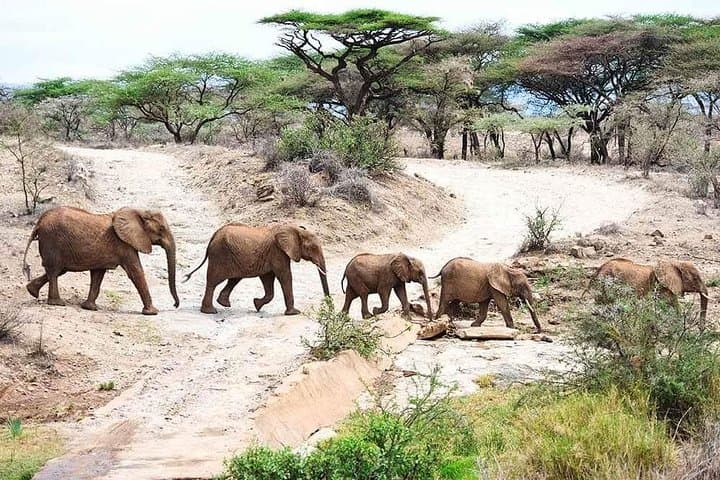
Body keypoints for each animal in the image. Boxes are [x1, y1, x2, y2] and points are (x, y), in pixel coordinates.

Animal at [22, 206, 179, 315]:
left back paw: (32, 291)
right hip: (52, 241)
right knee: (55, 271)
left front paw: (89, 308)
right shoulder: (124, 244)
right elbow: (136, 272)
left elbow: (98, 274)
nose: (175, 305)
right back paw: (57, 303)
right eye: (161, 228)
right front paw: (152, 312)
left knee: (58, 271)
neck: (138, 211)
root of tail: (39, 222)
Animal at [184, 223, 329, 315]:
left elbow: (268, 278)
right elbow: (285, 276)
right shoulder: (278, 252)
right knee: (213, 282)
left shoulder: (271, 254)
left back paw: (223, 304)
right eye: (313, 248)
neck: (295, 229)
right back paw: (210, 311)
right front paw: (294, 313)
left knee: (234, 279)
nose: (329, 305)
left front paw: (257, 305)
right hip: (219, 255)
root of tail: (214, 235)